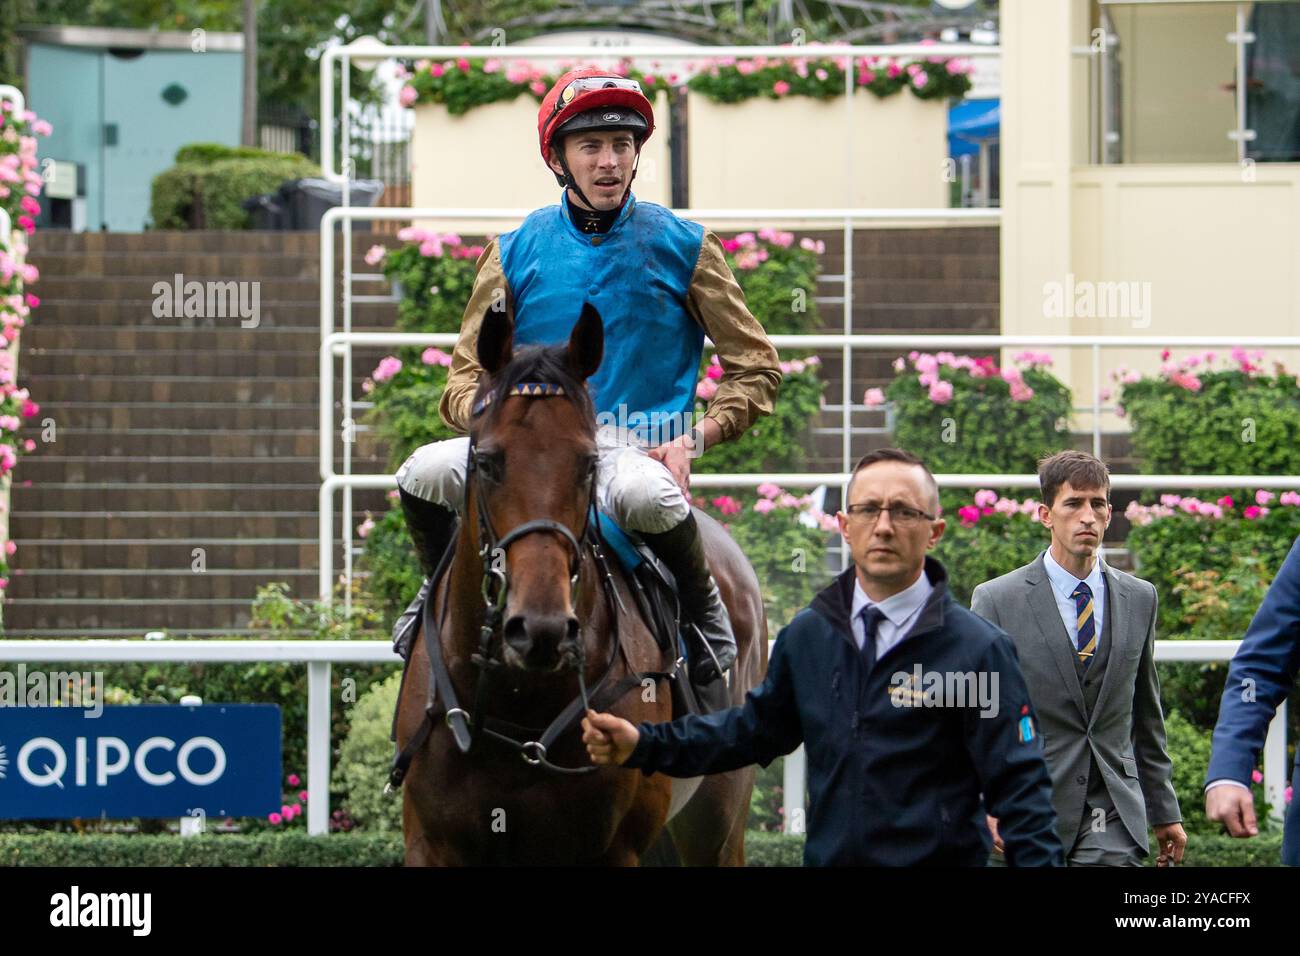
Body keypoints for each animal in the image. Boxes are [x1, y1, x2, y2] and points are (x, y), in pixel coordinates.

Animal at [390, 303, 764, 863]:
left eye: (589, 463)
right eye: (487, 461)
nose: (540, 629)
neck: (517, 702)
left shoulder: (613, 847)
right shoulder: (431, 842)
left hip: (716, 818)